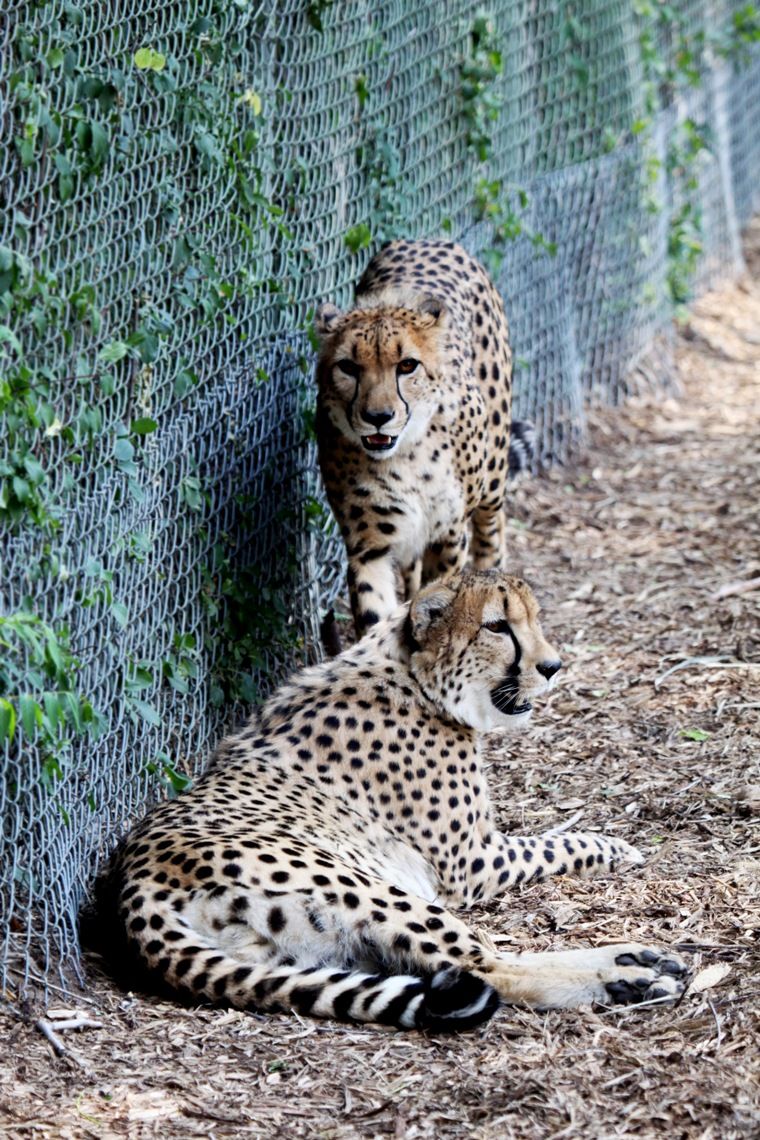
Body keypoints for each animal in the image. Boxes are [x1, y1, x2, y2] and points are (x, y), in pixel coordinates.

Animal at [89, 574, 688, 1030]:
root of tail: (131, 886)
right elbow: (555, 843)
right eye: (498, 627)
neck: (413, 676)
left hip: (312, 948)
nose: (551, 667)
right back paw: (628, 975)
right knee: (488, 964)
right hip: (372, 888)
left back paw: (631, 961)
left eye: (534, 620)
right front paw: (615, 848)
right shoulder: (472, 863)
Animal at [312, 234, 533, 638]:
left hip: (492, 476)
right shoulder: (368, 544)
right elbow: (376, 614)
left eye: (407, 366)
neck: (407, 457)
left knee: (491, 529)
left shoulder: (448, 535)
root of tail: (427, 239)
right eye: (348, 367)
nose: (378, 417)